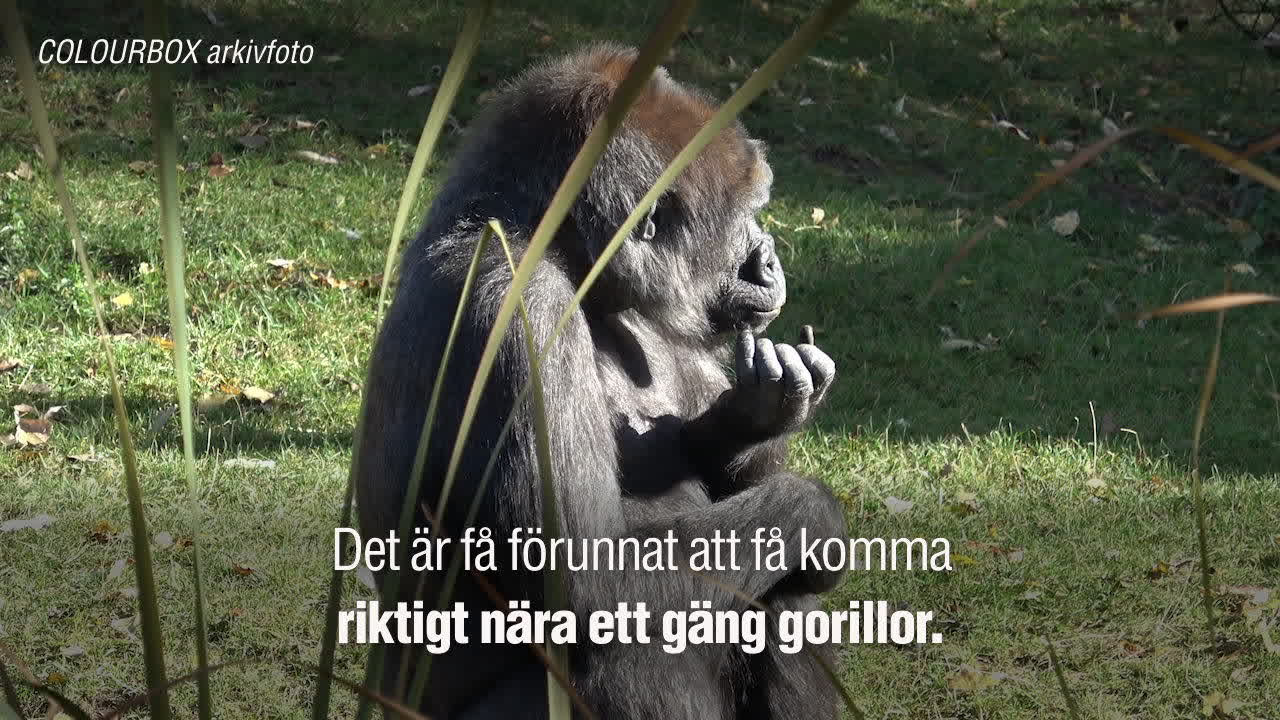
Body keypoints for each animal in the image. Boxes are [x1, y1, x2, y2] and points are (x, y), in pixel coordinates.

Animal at [354, 44, 848, 720]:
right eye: (746, 218)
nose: (770, 258)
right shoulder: (518, 311)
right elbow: (581, 583)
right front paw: (819, 514)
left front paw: (763, 409)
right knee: (623, 638)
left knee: (777, 594)